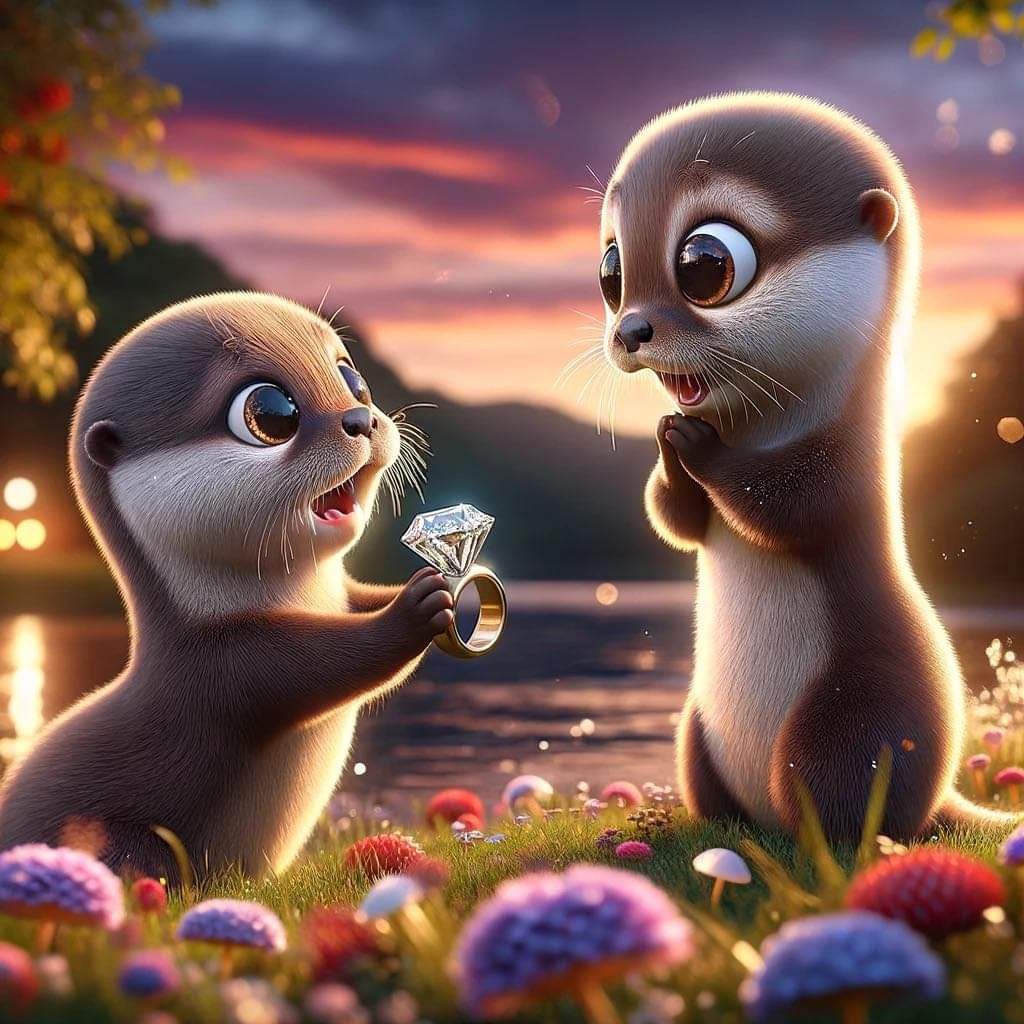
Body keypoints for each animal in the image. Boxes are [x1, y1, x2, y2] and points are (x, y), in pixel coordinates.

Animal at [0, 292, 454, 880]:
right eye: (271, 413)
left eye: (352, 379)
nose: (360, 417)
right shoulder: (224, 667)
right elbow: (328, 665)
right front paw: (415, 608)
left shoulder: (334, 600)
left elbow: (358, 601)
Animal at [600, 92, 1013, 840]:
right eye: (610, 271)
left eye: (705, 263)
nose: (629, 330)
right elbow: (678, 521)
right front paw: (671, 443)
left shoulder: (851, 465)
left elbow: (795, 507)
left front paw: (699, 447)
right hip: (694, 728)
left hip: (858, 717)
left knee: (842, 800)